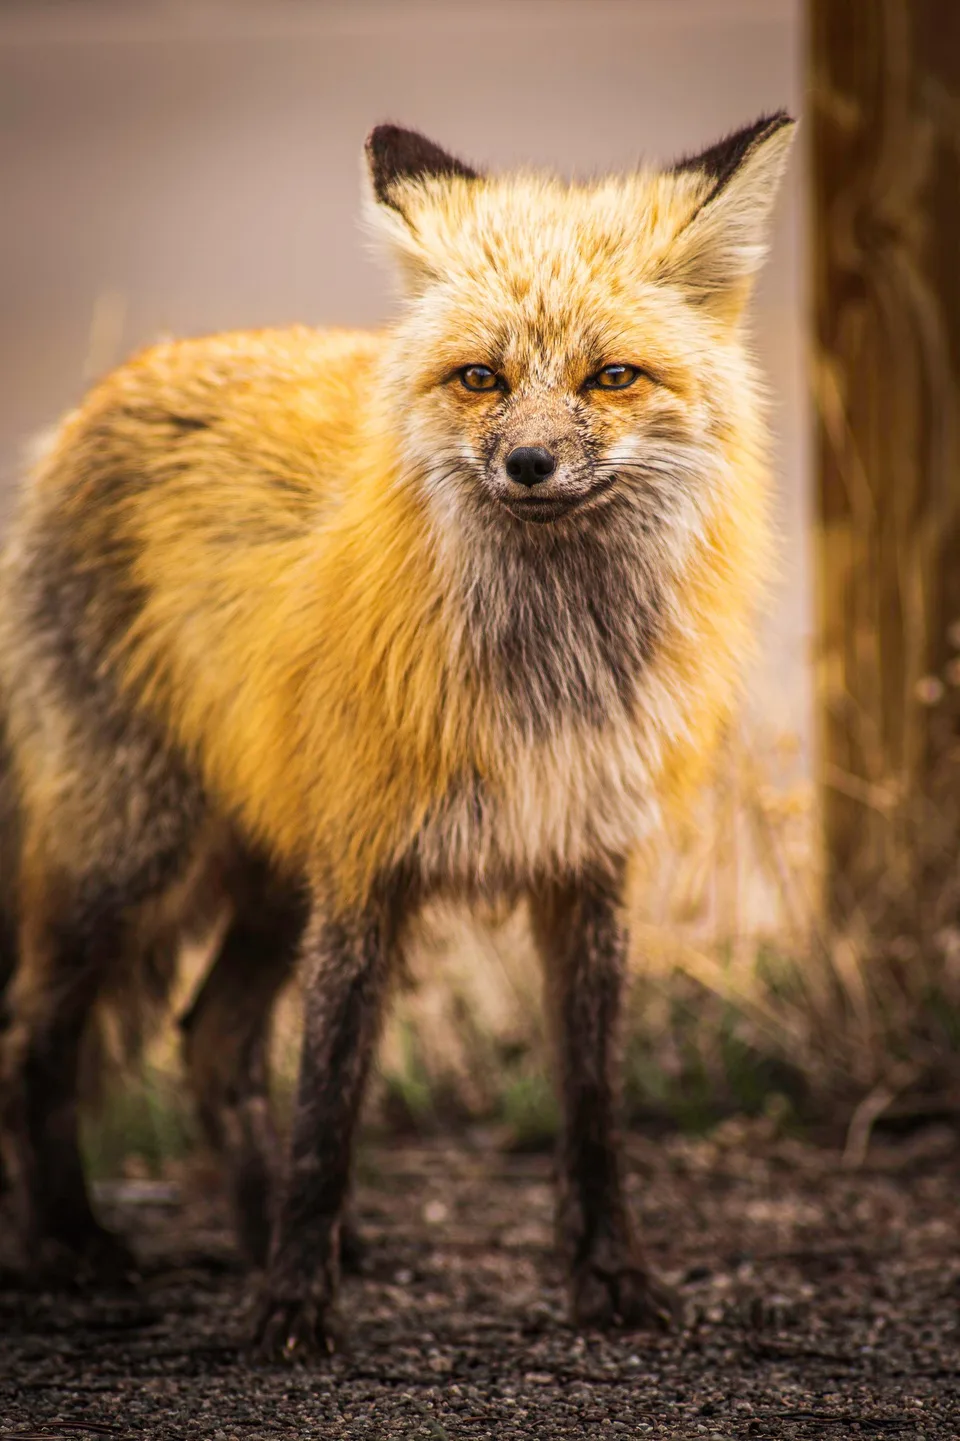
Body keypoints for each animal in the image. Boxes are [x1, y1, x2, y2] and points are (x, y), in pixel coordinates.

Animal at [0, 115, 794, 1357]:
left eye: (611, 376)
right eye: (482, 378)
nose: (528, 464)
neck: (546, 670)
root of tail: (107, 389)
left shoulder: (585, 867)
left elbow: (594, 1113)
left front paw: (613, 1282)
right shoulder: (367, 869)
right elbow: (328, 1109)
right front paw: (293, 1306)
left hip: (270, 872)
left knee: (209, 1041)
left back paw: (260, 1232)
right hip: (128, 858)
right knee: (34, 1039)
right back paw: (71, 1245)